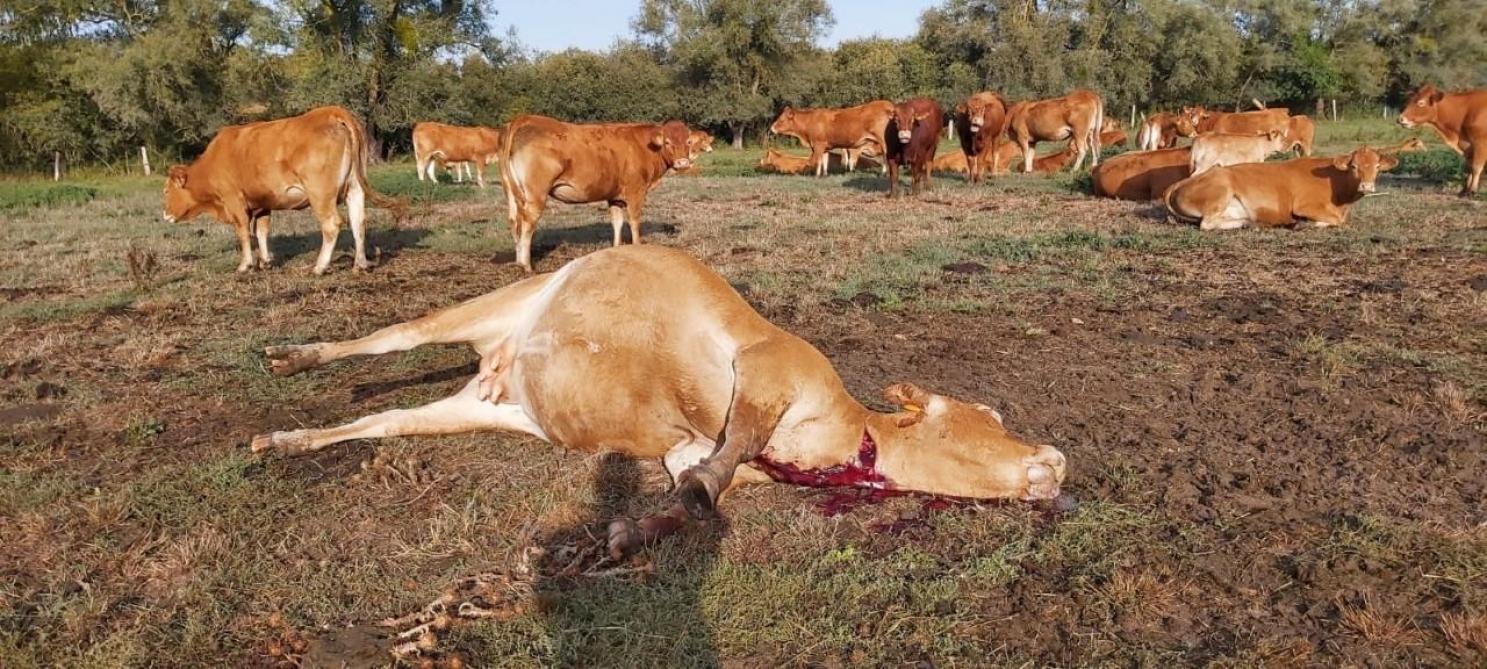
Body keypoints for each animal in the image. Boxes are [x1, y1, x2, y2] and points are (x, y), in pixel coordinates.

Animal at [162, 106, 406, 275]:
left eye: (166, 191)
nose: (165, 214)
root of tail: (329, 111)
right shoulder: (262, 203)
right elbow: (261, 231)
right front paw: (266, 261)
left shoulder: (234, 201)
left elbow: (243, 232)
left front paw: (245, 265)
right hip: (354, 188)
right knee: (359, 222)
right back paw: (360, 264)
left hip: (320, 194)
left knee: (332, 225)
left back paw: (319, 267)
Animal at [251, 245, 1068, 558]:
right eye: (990, 416)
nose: (1057, 459)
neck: (843, 439)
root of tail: (500, 366)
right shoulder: (769, 365)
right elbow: (732, 446)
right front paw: (695, 493)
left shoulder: (685, 445)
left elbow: (688, 487)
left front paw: (632, 532)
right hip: (486, 303)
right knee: (388, 337)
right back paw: (293, 356)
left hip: (483, 408)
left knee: (385, 420)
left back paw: (283, 441)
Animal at [498, 116, 693, 273]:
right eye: (667, 142)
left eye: (688, 142)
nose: (683, 163)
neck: (644, 147)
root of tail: (524, 119)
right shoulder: (635, 192)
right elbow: (634, 222)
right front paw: (638, 247)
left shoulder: (615, 196)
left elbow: (617, 222)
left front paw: (617, 247)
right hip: (536, 195)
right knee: (527, 223)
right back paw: (526, 266)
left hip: (512, 193)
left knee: (514, 221)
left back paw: (518, 262)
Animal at [1164, 146, 1399, 230]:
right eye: (1353, 166)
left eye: (1377, 166)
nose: (1367, 186)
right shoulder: (1304, 206)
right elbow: (1336, 221)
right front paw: (1305, 223)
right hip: (1221, 190)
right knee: (1207, 224)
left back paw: (1250, 223)